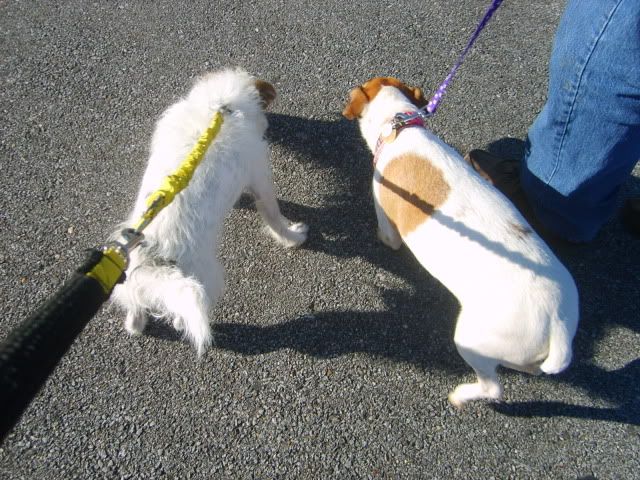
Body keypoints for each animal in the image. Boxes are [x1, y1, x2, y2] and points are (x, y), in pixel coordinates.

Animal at [112, 67, 308, 354]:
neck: (221, 109)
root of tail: (156, 255)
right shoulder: (260, 176)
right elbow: (274, 216)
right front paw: (294, 237)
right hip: (205, 279)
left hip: (133, 279)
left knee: (137, 304)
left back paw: (136, 324)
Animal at [344, 77, 580, 406]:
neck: (401, 126)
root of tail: (557, 324)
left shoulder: (383, 208)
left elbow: (387, 236)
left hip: (472, 340)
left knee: (493, 388)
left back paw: (462, 395)